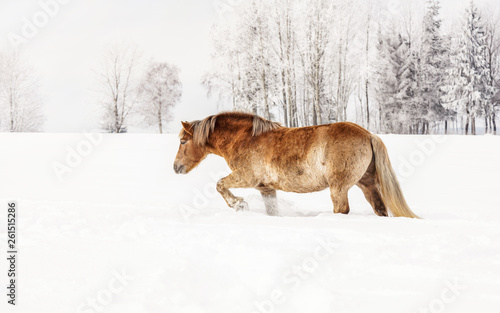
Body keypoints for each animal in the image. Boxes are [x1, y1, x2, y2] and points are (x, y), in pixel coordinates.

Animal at [174, 111, 420, 218]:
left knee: (342, 209)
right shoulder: (266, 188)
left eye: (183, 141)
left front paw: (239, 204)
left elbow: (219, 185)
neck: (246, 139)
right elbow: (272, 211)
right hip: (367, 184)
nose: (176, 167)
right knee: (380, 208)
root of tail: (369, 135)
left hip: (339, 188)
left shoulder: (246, 177)